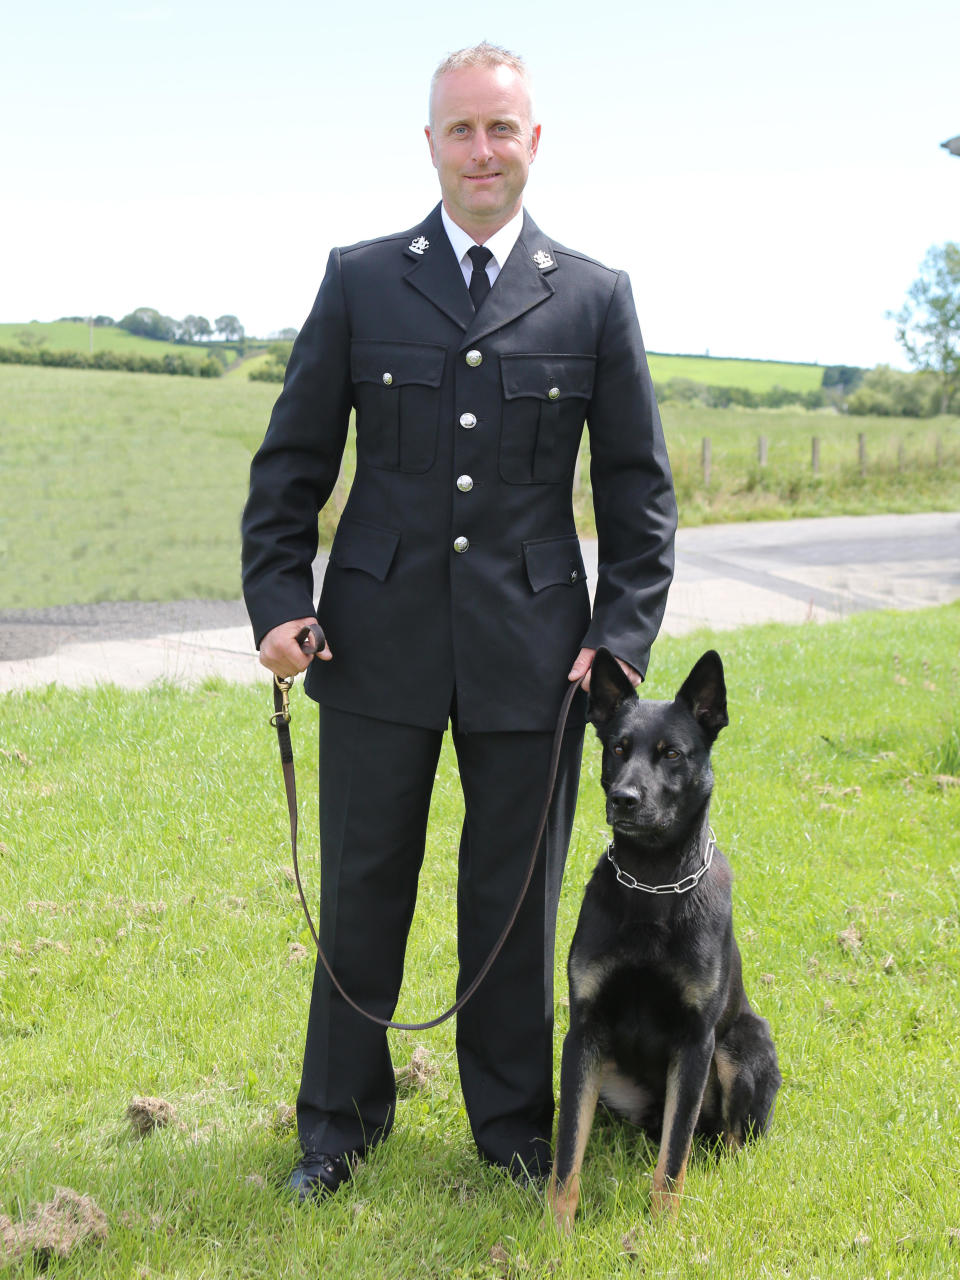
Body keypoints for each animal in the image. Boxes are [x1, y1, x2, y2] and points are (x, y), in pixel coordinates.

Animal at [547, 650, 783, 1228]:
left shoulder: (696, 1042)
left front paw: (662, 1228)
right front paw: (555, 1228)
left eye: (671, 754)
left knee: (722, 1140)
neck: (652, 883)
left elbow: (674, 1157)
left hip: (740, 1046)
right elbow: (568, 1149)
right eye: (617, 748)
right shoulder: (583, 1034)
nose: (623, 799)